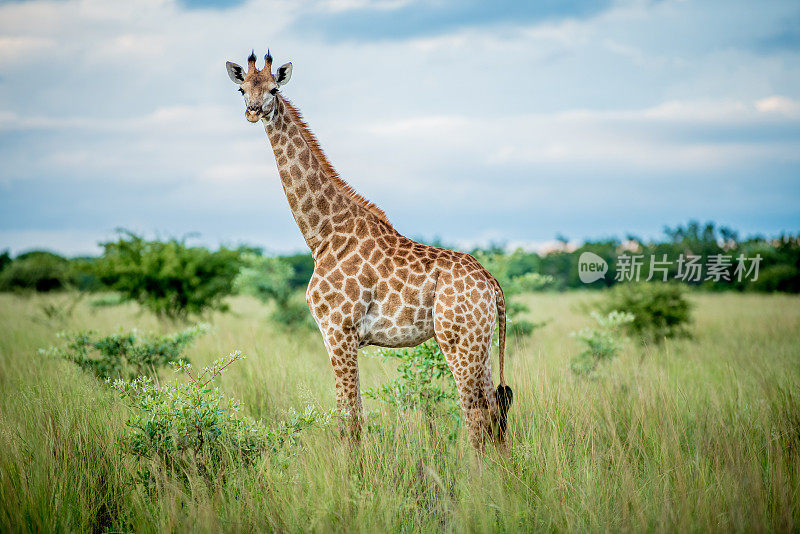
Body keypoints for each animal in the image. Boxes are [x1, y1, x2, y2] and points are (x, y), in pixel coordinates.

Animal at [225, 51, 512, 452]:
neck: (322, 235)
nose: (253, 111)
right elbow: (356, 416)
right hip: (480, 342)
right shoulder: (344, 337)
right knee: (496, 413)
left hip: (458, 340)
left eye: (274, 88)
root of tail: (492, 285)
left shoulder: (338, 331)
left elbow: (349, 421)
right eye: (241, 89)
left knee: (477, 414)